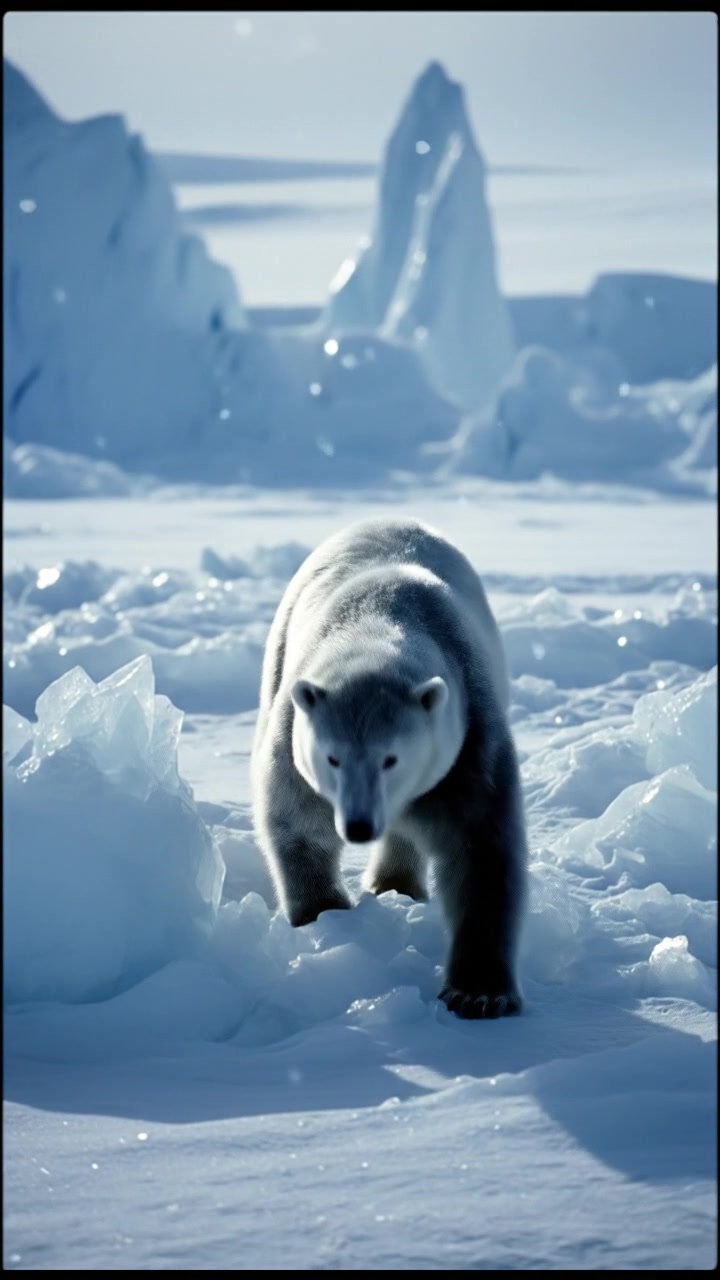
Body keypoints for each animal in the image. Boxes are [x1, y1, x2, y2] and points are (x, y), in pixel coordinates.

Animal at [251, 517, 527, 1019]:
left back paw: (398, 884)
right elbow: (296, 817)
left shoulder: (471, 732)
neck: (379, 619)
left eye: (391, 758)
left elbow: (482, 849)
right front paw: (324, 914)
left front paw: (478, 994)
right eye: (332, 757)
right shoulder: (293, 720)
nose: (359, 825)